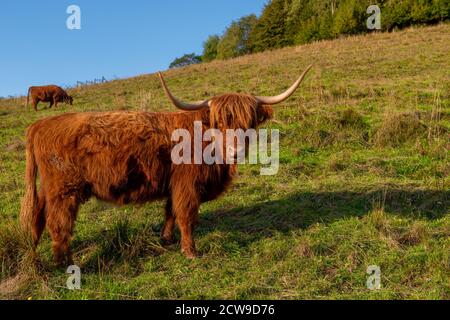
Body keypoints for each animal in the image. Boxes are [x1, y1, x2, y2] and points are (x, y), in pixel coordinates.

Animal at [19, 65, 312, 264]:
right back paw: (65, 262)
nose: (236, 149)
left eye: (249, 122)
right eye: (219, 122)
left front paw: (166, 239)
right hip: (64, 191)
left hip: (48, 189)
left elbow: (170, 212)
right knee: (58, 223)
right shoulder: (188, 186)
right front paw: (190, 251)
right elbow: (186, 216)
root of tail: (39, 124)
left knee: (38, 216)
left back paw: (33, 249)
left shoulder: (174, 184)